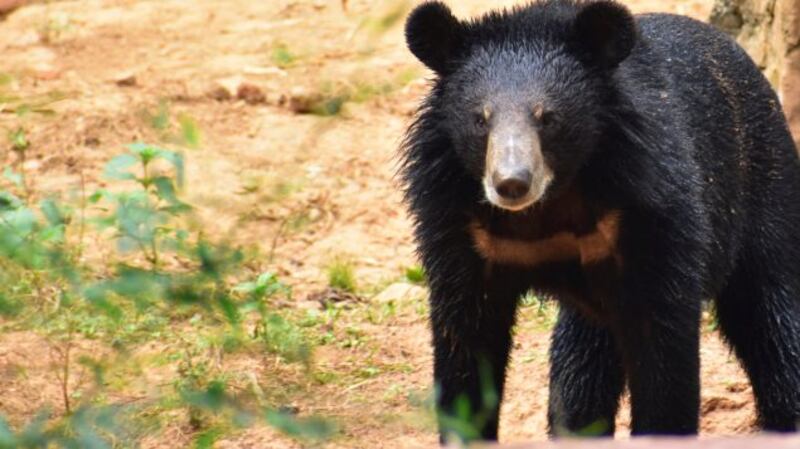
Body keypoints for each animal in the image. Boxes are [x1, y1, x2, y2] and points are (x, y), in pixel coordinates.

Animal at [400, 0, 800, 443]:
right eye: (480, 119)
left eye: (548, 118)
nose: (511, 184)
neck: (550, 202)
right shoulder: (459, 228)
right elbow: (466, 340)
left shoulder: (653, 211)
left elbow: (663, 350)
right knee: (581, 366)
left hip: (765, 191)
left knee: (770, 314)